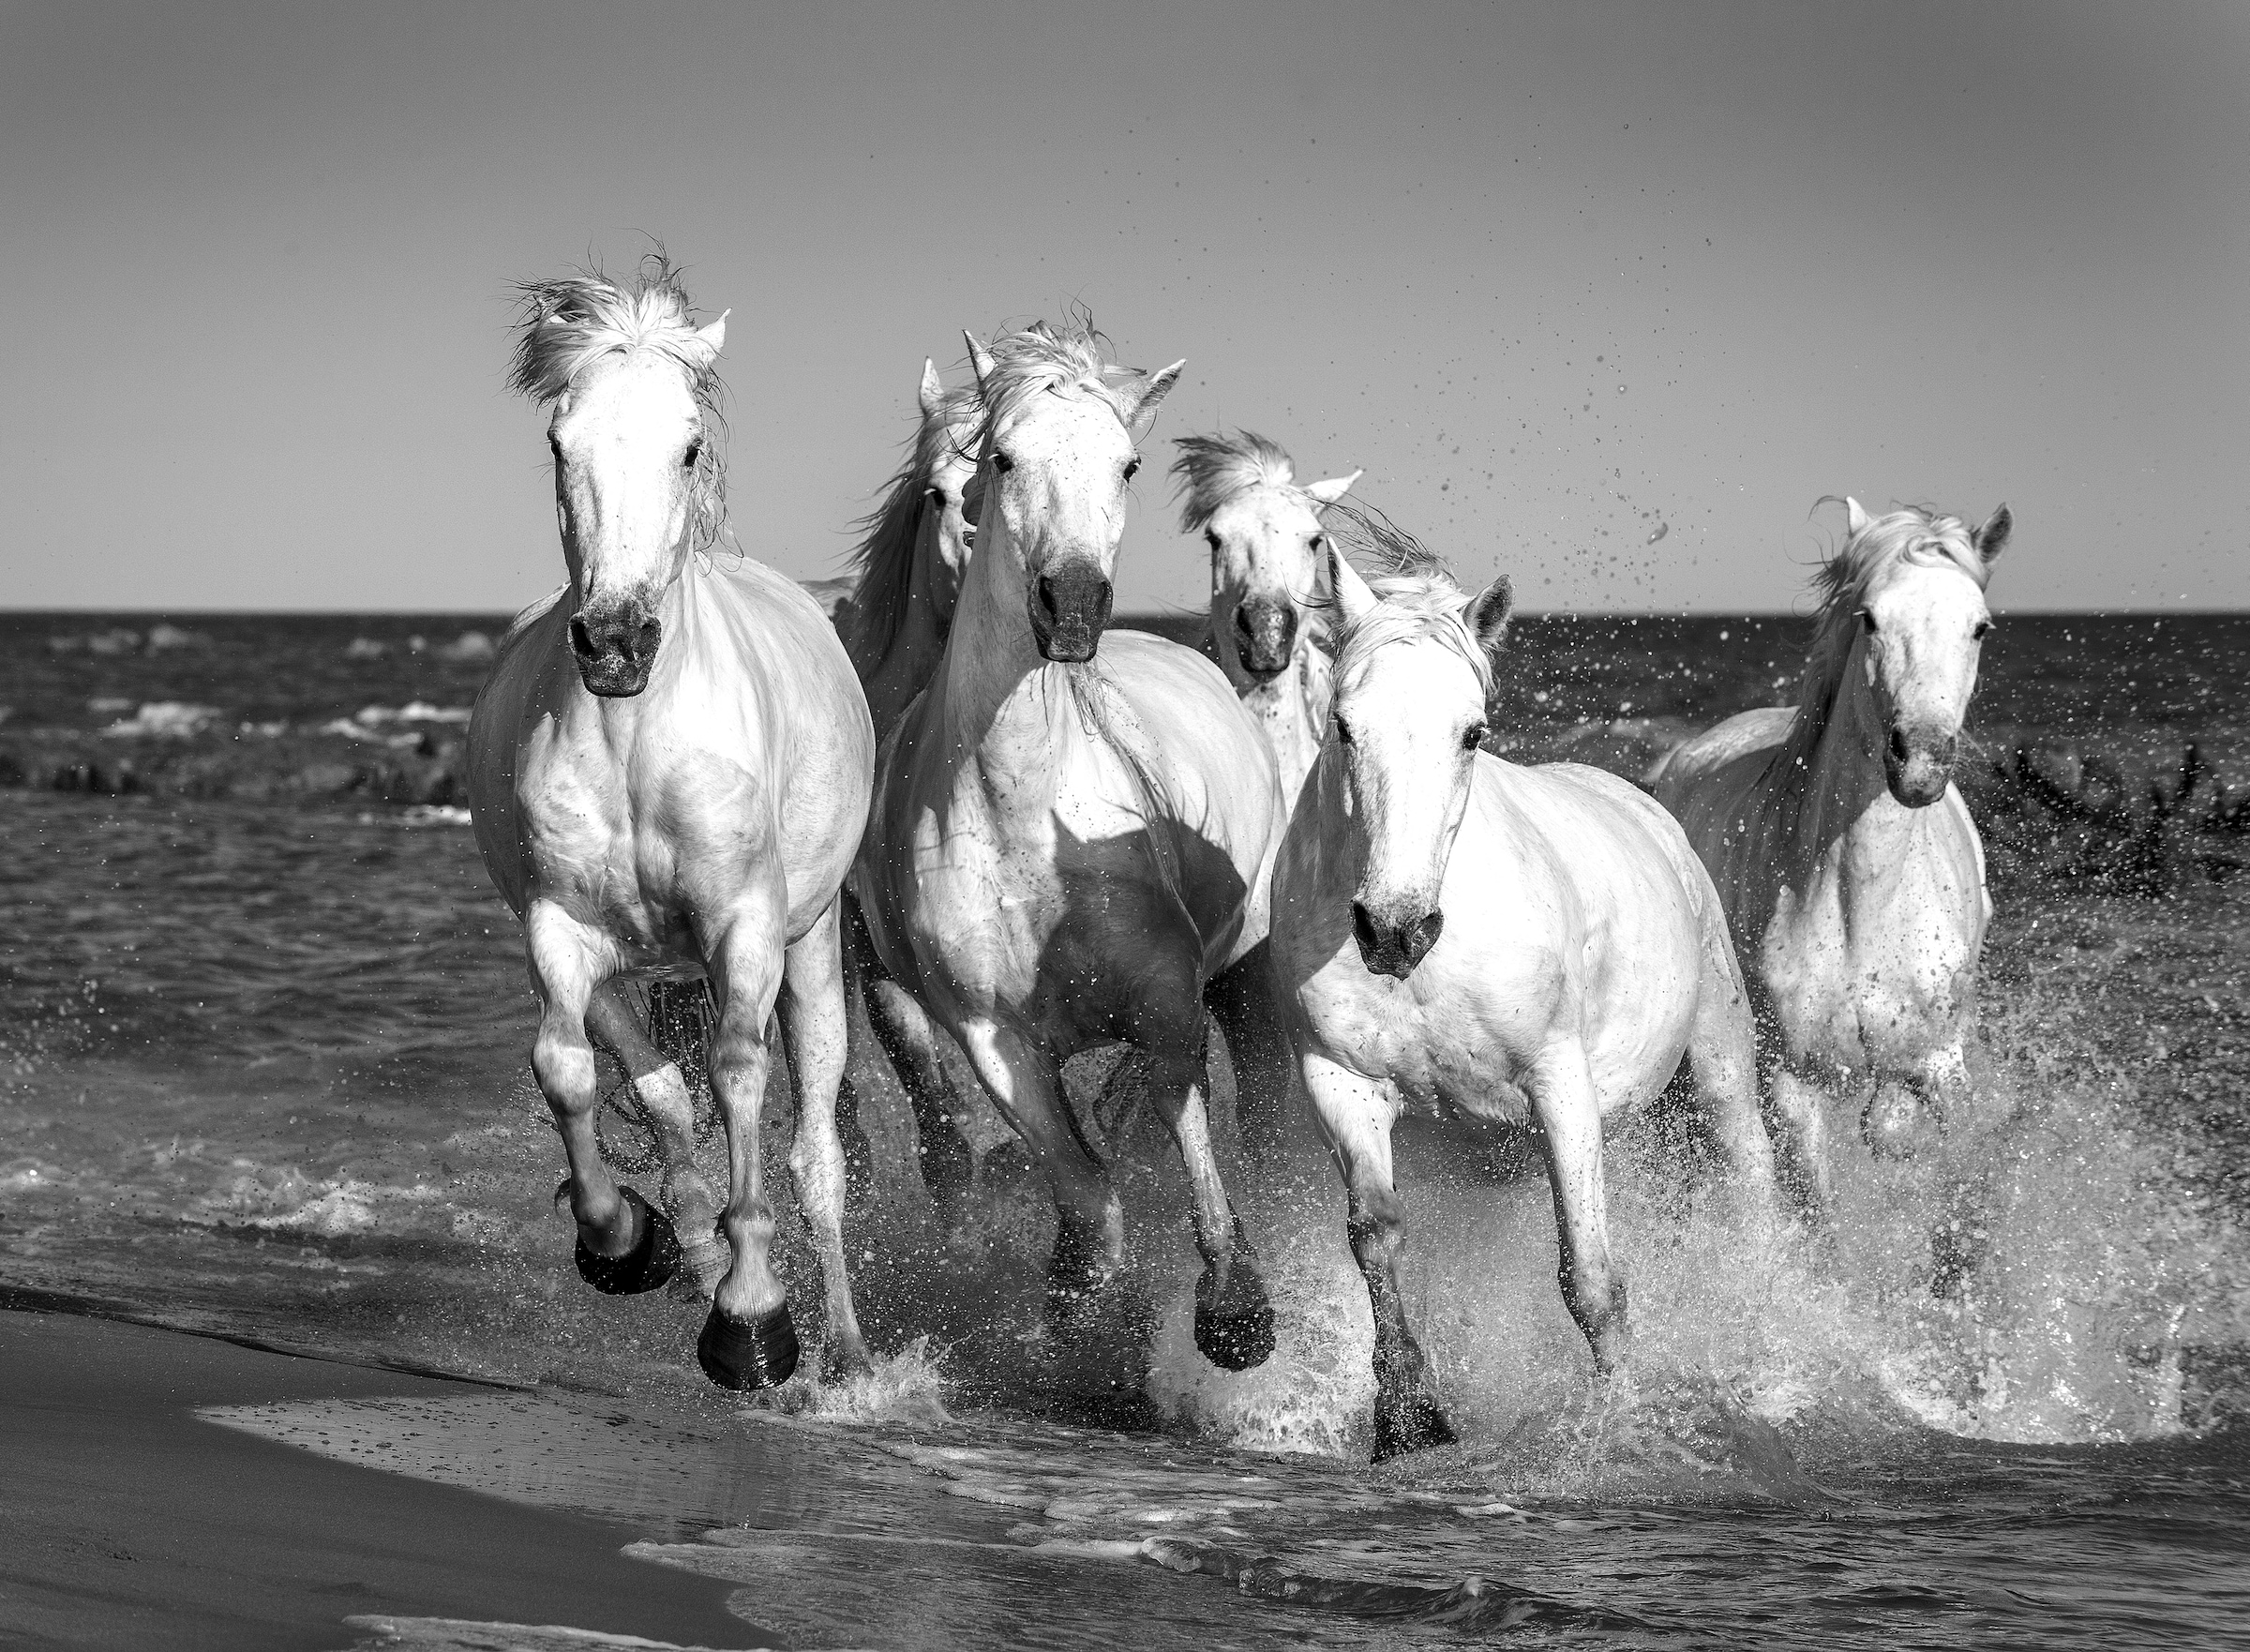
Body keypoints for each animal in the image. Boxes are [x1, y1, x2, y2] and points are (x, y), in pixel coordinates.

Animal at [463, 262, 868, 1395]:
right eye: (561, 442)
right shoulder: (559, 927)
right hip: (620, 962)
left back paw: (847, 1352)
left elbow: (739, 1077)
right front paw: (620, 1240)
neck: (638, 736)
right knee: (656, 1093)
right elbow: (568, 1071)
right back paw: (683, 1250)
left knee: (814, 1150)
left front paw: (755, 1320)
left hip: (812, 945)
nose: (615, 642)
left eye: (687, 444)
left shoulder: (744, 927)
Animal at [850, 319, 1296, 1368]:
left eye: (1127, 464)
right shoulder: (994, 1038)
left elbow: (1175, 1119)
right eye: (1001, 459)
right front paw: (1079, 1299)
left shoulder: (1168, 1000)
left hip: (1248, 981)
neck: (1025, 821)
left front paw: (1236, 1310)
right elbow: (1087, 1190)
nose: (1075, 605)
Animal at [1268, 537, 1773, 1458]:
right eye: (1344, 725)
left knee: (1748, 1179)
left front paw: (1621, 1424)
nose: (1394, 929)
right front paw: (1409, 1418)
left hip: (1720, 1066)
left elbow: (1592, 1278)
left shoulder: (1559, 1085)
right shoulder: (1341, 1082)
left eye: (1473, 732)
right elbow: (1376, 1237)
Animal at [1646, 497, 2016, 1206]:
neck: (1862, 907)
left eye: (1980, 628)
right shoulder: (1794, 1081)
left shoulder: (1942, 1060)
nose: (1922, 761)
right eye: (1869, 617)